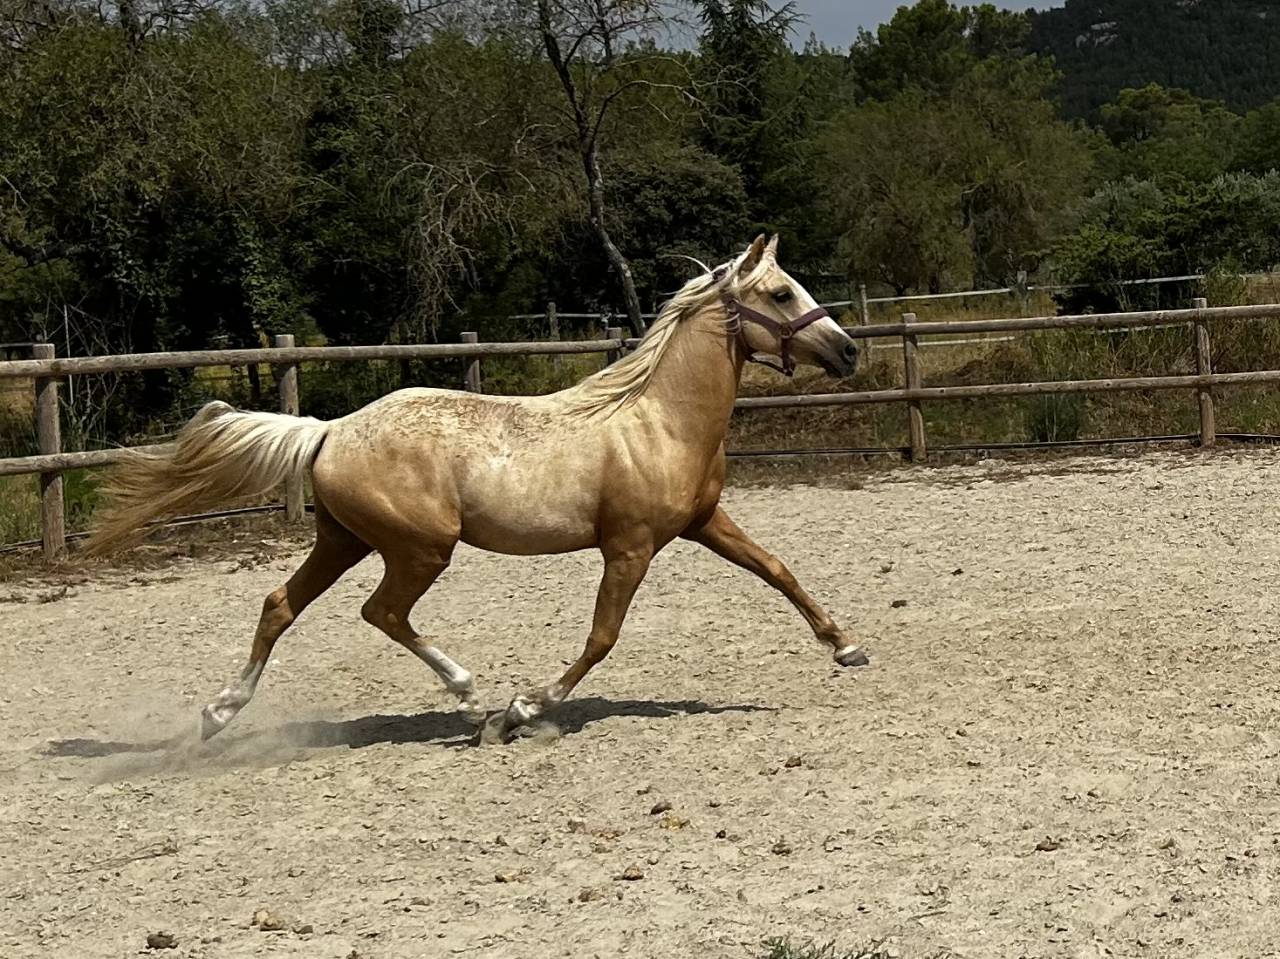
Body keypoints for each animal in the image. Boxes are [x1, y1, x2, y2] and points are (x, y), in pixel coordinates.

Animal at [85, 235, 869, 744]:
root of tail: (330, 429)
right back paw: (470, 703)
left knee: (280, 605)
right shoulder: (630, 547)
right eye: (781, 292)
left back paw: (219, 714)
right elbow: (602, 636)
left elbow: (777, 570)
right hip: (420, 549)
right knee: (382, 613)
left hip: (344, 541)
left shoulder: (705, 521)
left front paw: (846, 647)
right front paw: (526, 709)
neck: (656, 419)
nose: (849, 350)